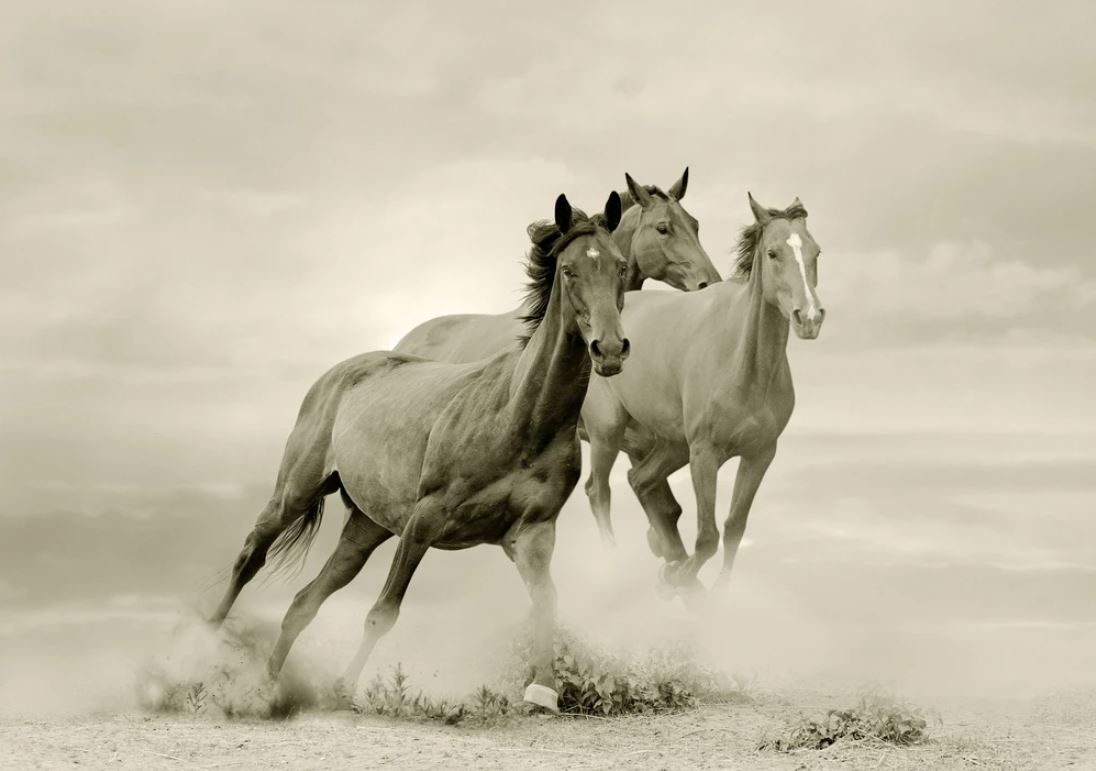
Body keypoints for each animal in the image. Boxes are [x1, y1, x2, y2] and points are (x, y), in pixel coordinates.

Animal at [209, 192, 631, 714]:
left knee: (304, 602)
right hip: (295, 492)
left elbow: (546, 603)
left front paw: (542, 693)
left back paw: (267, 689)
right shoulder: (424, 521)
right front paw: (344, 690)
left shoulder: (532, 535)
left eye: (619, 266)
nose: (609, 350)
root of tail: (339, 372)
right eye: (570, 269)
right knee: (250, 558)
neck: (519, 417)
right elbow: (382, 613)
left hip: (366, 528)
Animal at [580, 193, 825, 592]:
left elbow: (734, 527)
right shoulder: (704, 454)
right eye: (773, 253)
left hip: (671, 444)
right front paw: (677, 578)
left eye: (815, 252)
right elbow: (707, 537)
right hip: (608, 434)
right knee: (598, 491)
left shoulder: (760, 455)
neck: (744, 367)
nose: (810, 318)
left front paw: (712, 591)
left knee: (641, 482)